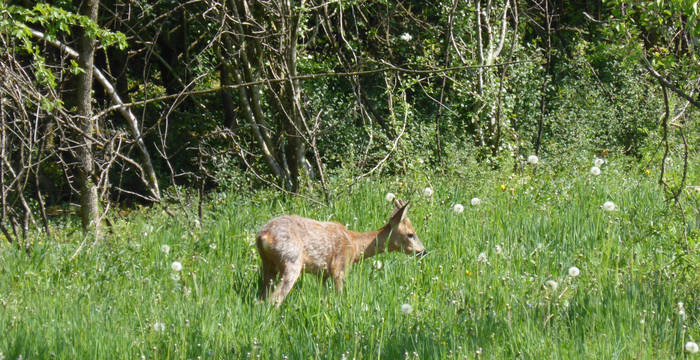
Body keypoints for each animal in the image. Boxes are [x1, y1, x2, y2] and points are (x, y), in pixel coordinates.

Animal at [254, 200, 424, 306]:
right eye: (411, 234)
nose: (423, 251)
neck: (355, 246)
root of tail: (264, 236)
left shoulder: (322, 273)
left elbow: (323, 296)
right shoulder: (339, 267)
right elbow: (340, 296)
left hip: (268, 265)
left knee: (261, 298)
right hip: (292, 260)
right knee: (275, 299)